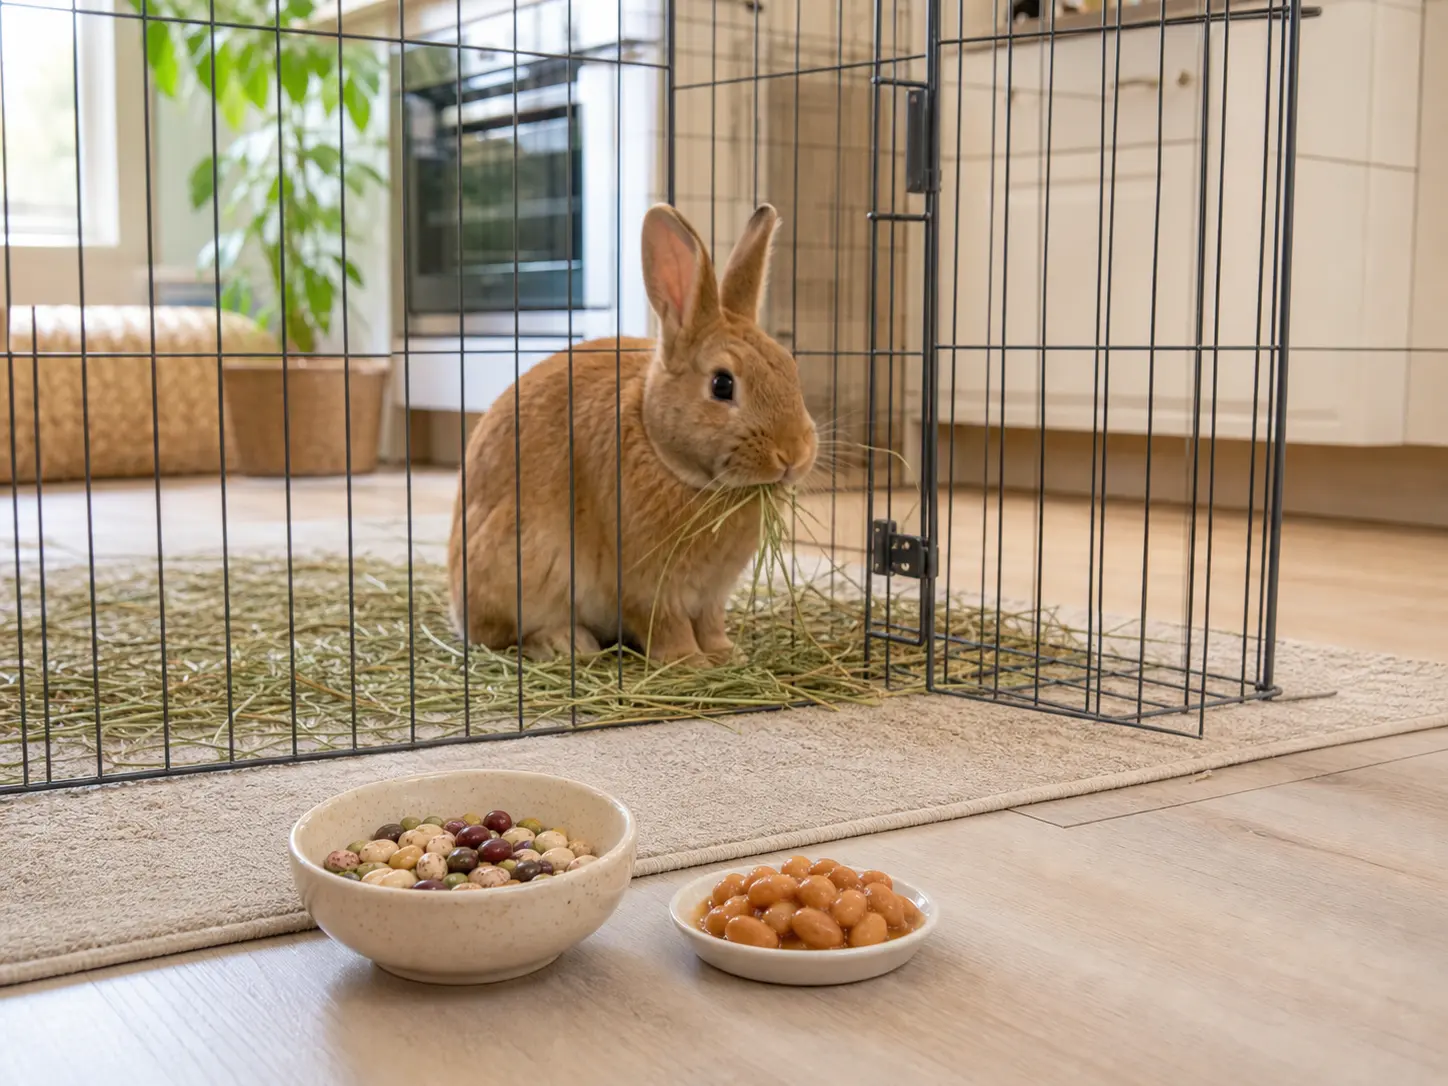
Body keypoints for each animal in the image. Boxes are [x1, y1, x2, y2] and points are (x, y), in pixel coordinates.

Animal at [447, 202, 818, 664]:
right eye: (722, 384)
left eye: (789, 366)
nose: (794, 454)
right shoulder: (648, 587)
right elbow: (665, 624)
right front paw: (689, 662)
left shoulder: (711, 595)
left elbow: (711, 623)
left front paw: (726, 655)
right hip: (521, 569)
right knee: (506, 635)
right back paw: (566, 643)